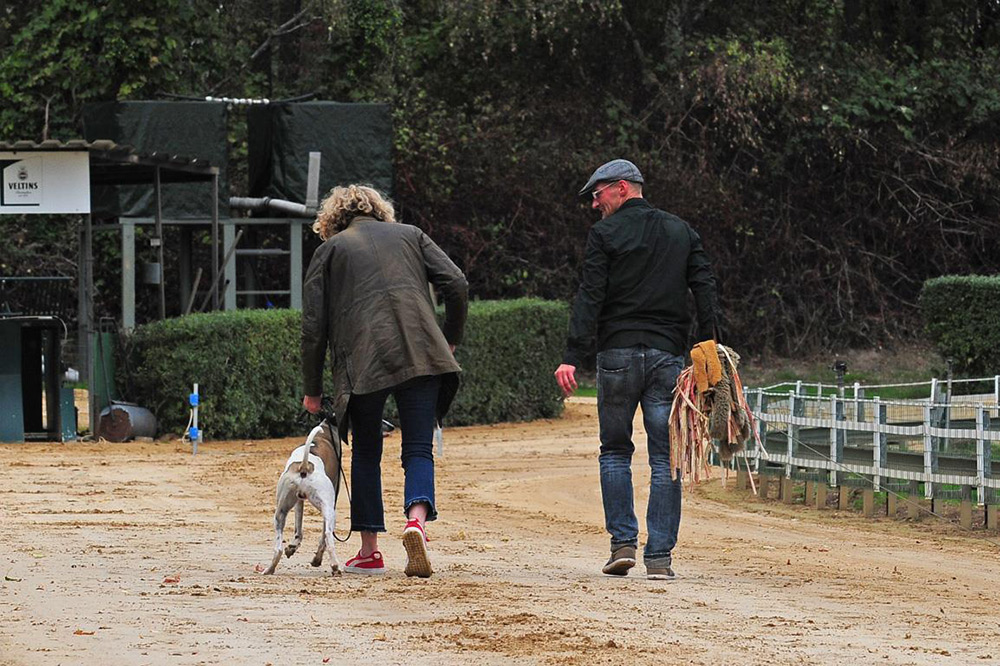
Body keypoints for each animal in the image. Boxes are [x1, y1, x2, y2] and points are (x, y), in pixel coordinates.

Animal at [262, 420, 342, 576]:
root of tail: (304, 467)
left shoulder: (299, 501)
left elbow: (298, 529)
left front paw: (292, 547)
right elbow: (322, 536)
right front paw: (316, 560)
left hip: (281, 512)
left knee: (278, 548)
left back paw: (269, 569)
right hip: (330, 509)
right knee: (328, 536)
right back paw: (334, 566)